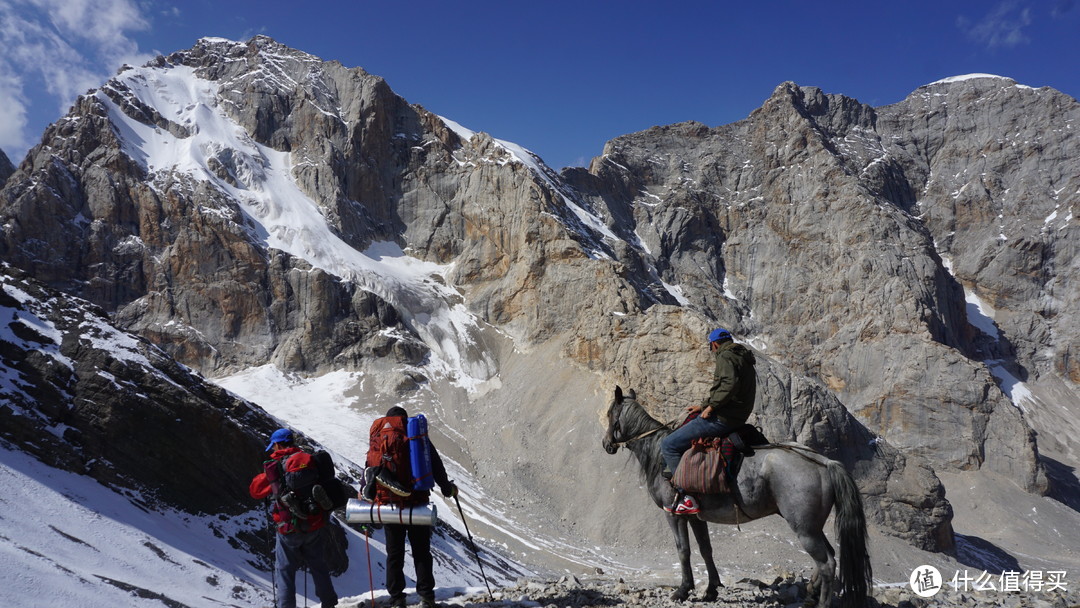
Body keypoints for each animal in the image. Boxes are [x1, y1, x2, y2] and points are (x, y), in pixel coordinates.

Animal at [604, 388, 872, 604]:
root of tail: (824, 462)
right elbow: (706, 549)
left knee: (827, 563)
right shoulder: (696, 517)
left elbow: (684, 550)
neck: (658, 454)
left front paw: (683, 590)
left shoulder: (673, 514)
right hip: (812, 527)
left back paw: (820, 600)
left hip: (804, 529)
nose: (607, 444)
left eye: (608, 415)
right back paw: (810, 592)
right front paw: (711, 590)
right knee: (829, 556)